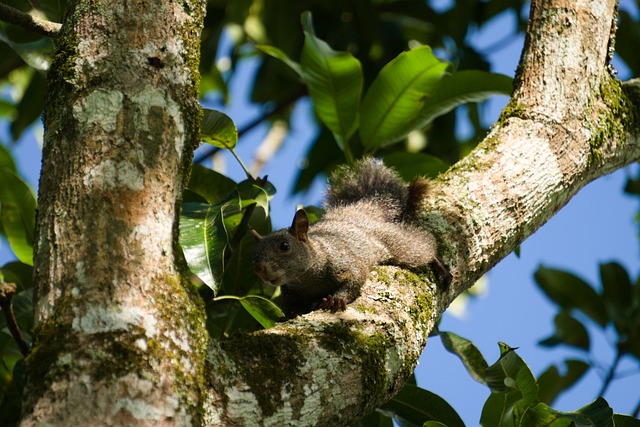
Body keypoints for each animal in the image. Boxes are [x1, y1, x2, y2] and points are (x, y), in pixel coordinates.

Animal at [251, 158, 450, 318]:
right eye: (252, 257)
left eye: (284, 246)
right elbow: (291, 307)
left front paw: (337, 299)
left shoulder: (342, 260)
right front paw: (293, 313)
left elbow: (356, 275)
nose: (260, 269)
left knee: (421, 245)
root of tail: (358, 212)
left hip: (395, 242)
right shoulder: (289, 293)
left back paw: (437, 264)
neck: (307, 279)